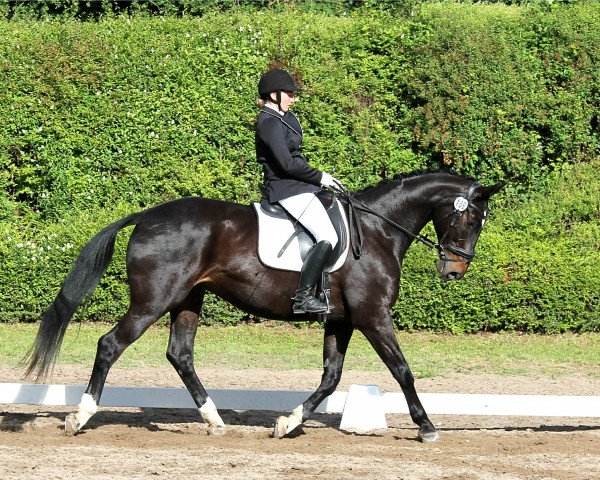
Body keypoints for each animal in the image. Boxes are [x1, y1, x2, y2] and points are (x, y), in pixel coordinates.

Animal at [25, 172, 502, 442]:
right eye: (470, 218)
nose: (454, 270)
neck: (376, 230)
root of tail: (146, 216)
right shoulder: (372, 315)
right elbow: (402, 369)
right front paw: (427, 427)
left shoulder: (342, 320)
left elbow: (331, 378)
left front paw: (287, 423)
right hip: (153, 301)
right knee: (110, 345)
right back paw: (80, 417)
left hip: (187, 299)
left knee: (180, 355)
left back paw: (215, 420)